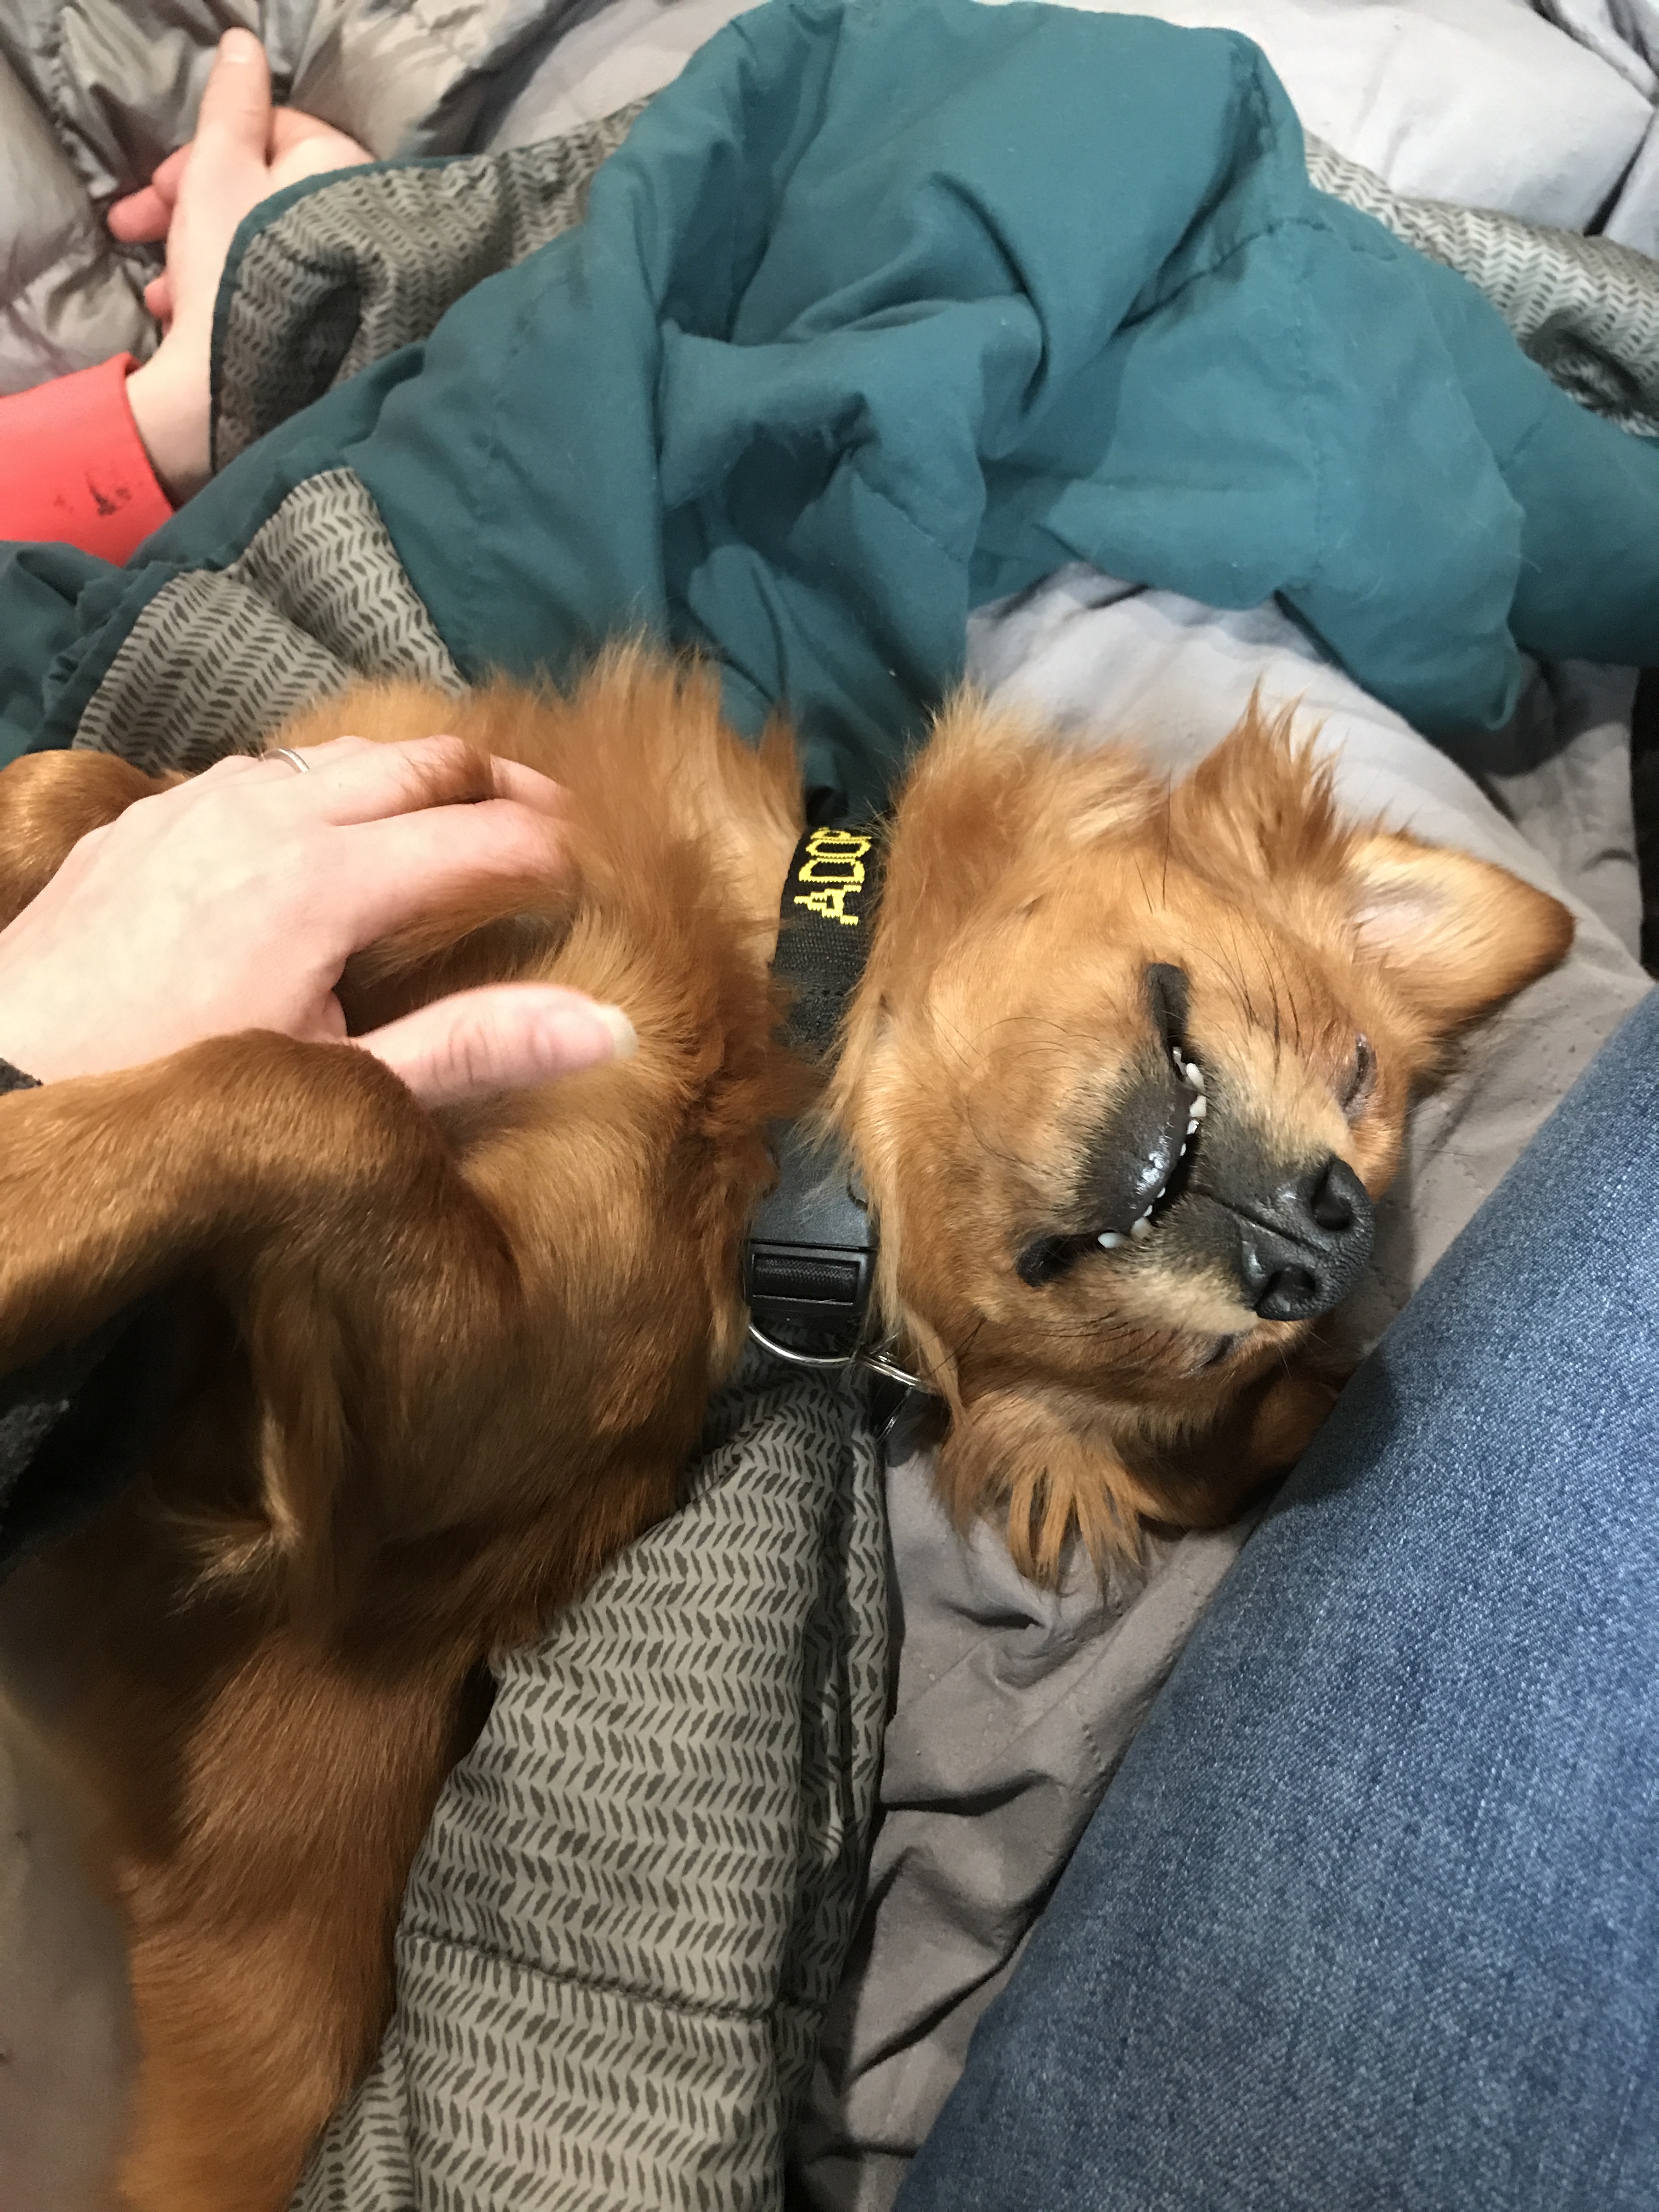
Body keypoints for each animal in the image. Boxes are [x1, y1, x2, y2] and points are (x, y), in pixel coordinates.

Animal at [0, 648, 1570, 2209]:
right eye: (1357, 1065)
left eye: (1206, 1366)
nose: (1327, 1242)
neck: (785, 1061)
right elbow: (83, 789)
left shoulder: (353, 1481)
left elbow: (330, 1094)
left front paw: (36, 1180)